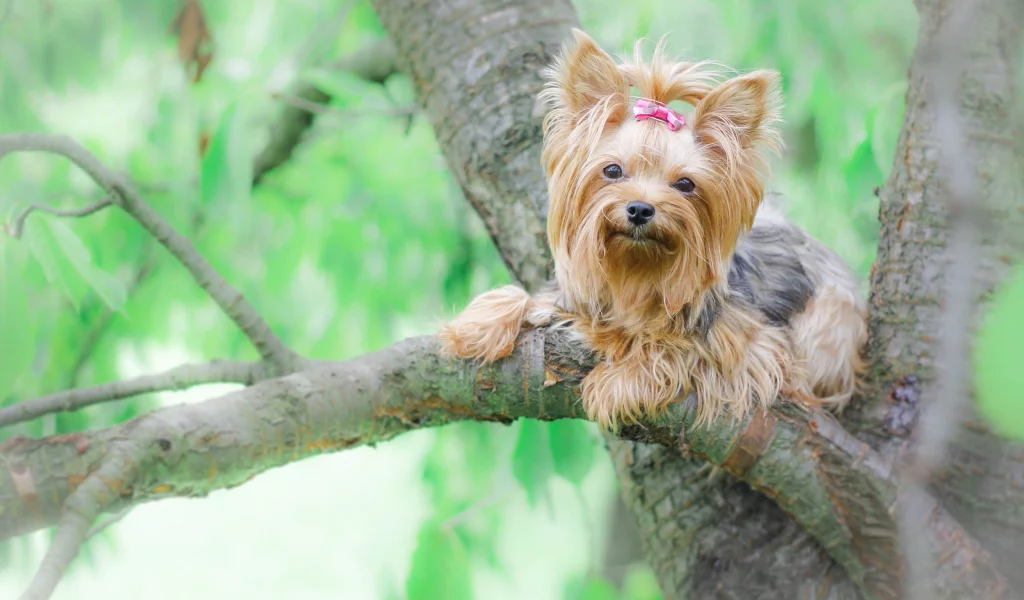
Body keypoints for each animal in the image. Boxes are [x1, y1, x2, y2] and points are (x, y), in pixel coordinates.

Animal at [436, 29, 868, 430]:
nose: (641, 209)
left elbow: (679, 349)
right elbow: (530, 300)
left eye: (685, 184)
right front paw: (478, 325)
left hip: (833, 317)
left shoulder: (752, 348)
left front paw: (618, 382)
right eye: (612, 170)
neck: (637, 272)